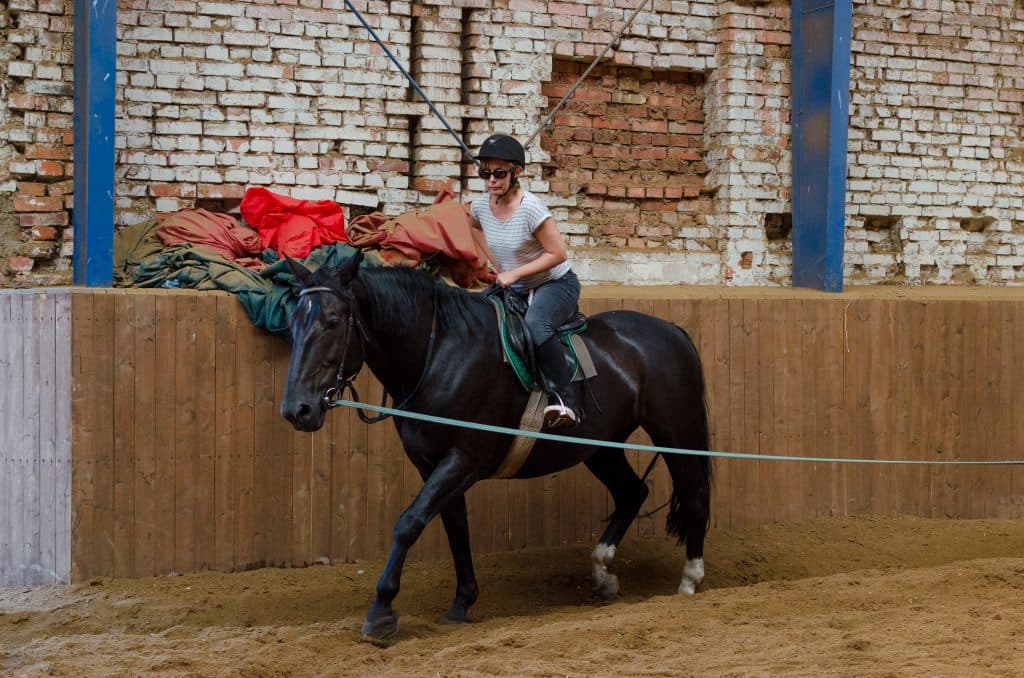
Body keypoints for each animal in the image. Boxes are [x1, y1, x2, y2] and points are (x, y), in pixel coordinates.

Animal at [279, 251, 713, 644]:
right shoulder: (433, 466)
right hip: (599, 447)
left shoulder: (462, 460)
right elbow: (456, 530)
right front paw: (461, 604)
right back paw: (603, 574)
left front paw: (381, 613)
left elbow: (408, 523)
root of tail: (672, 331)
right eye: (293, 322)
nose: (297, 409)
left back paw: (689, 580)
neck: (439, 353)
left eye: (332, 322)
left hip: (677, 432)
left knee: (693, 497)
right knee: (632, 493)